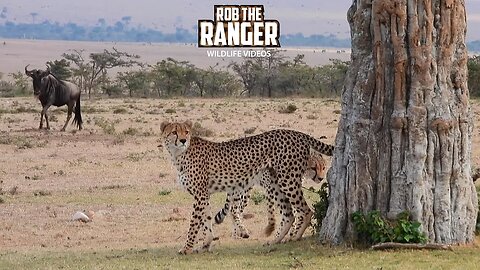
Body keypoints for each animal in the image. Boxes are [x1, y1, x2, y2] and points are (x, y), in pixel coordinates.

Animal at [161, 121, 334, 254]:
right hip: (276, 183)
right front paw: (205, 245)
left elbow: (194, 224)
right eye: (174, 132)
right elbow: (206, 220)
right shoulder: (204, 195)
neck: (179, 154)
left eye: (186, 132)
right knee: (289, 213)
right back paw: (275, 240)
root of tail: (297, 133)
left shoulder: (200, 195)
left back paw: (295, 237)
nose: (183, 140)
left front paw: (186, 248)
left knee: (305, 210)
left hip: (287, 180)